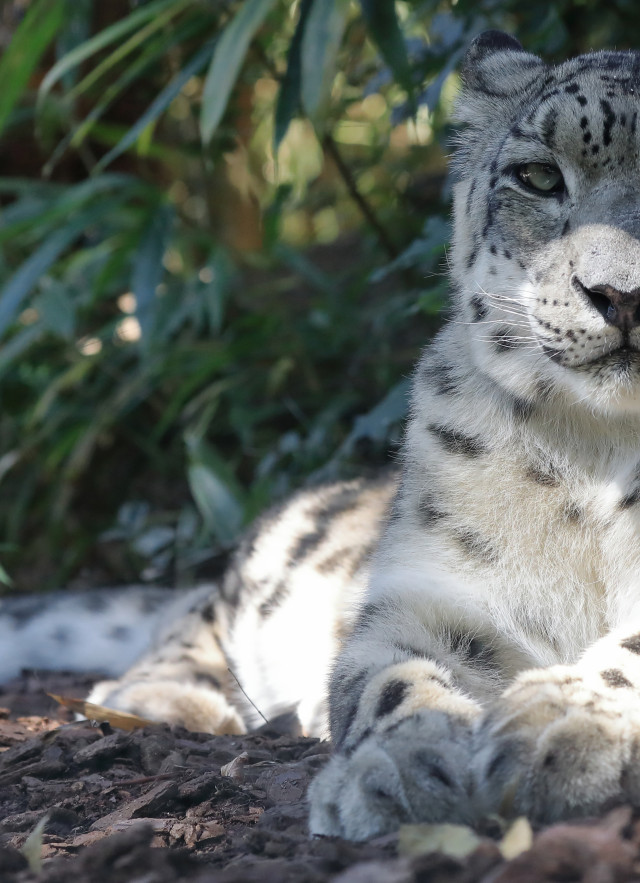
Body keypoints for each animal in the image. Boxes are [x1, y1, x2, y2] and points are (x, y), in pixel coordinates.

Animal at [5, 29, 640, 842]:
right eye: (538, 176)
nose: (620, 294)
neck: (598, 450)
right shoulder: (433, 593)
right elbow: (388, 677)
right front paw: (402, 764)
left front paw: (558, 726)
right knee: (189, 617)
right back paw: (159, 698)